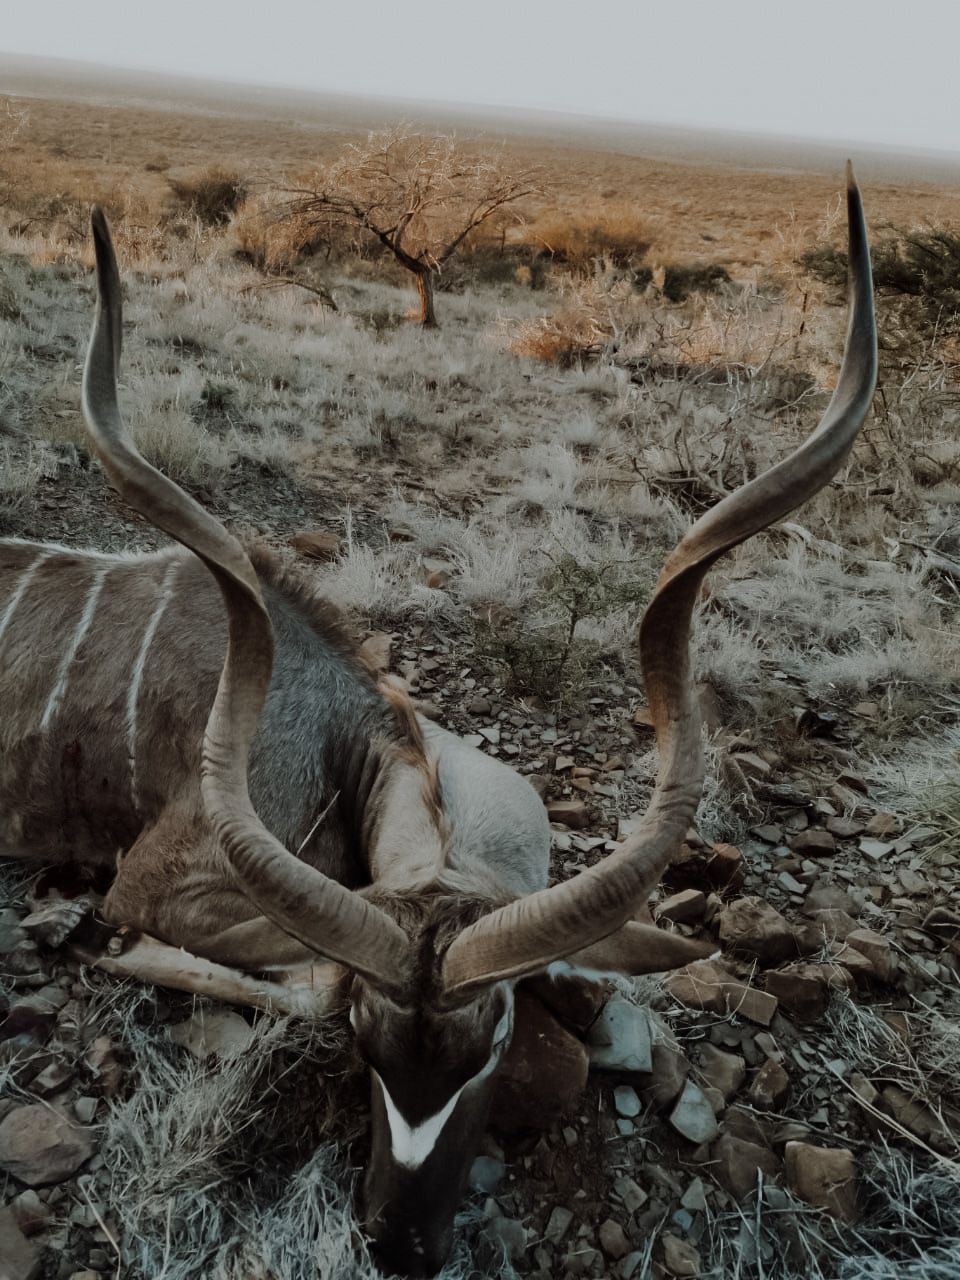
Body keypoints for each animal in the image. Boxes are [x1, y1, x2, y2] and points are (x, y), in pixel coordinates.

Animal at [0, 167, 876, 1277]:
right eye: (365, 1043)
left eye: (489, 1045)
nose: (396, 1239)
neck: (340, 724)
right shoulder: (157, 883)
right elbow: (288, 968)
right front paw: (112, 948)